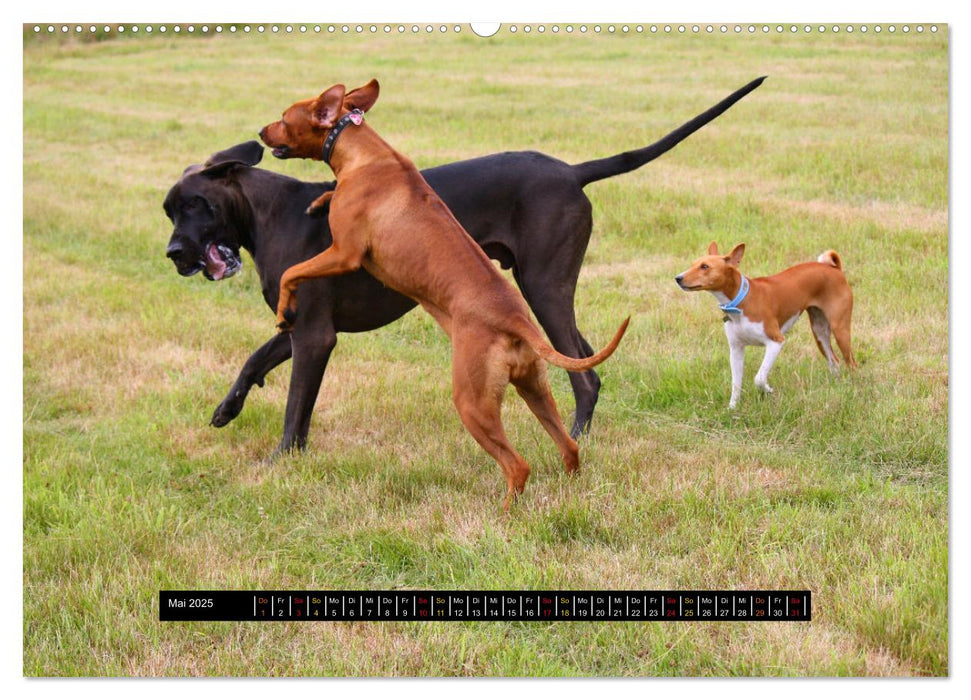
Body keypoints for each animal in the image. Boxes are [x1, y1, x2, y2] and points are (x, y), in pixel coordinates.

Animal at [163, 76, 764, 456]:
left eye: (192, 206)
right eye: (170, 211)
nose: (173, 254)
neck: (270, 214)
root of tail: (572, 171)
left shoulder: (315, 336)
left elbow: (296, 408)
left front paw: (283, 460)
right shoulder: (297, 330)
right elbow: (254, 360)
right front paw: (227, 409)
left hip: (543, 286)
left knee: (586, 373)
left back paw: (575, 437)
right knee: (583, 366)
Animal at [258, 80, 632, 508]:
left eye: (284, 118)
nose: (260, 132)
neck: (364, 151)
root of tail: (516, 320)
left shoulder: (344, 254)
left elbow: (291, 273)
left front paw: (283, 310)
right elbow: (327, 198)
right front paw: (320, 201)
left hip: (473, 401)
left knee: (517, 466)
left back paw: (507, 512)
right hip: (534, 388)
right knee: (569, 447)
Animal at [676, 243, 860, 408]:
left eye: (704, 266)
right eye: (693, 264)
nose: (678, 278)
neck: (741, 301)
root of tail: (834, 269)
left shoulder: (776, 341)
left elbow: (759, 378)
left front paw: (768, 390)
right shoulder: (736, 349)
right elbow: (736, 384)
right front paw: (732, 409)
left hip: (839, 329)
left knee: (851, 363)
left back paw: (852, 390)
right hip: (819, 333)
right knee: (834, 361)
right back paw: (836, 386)